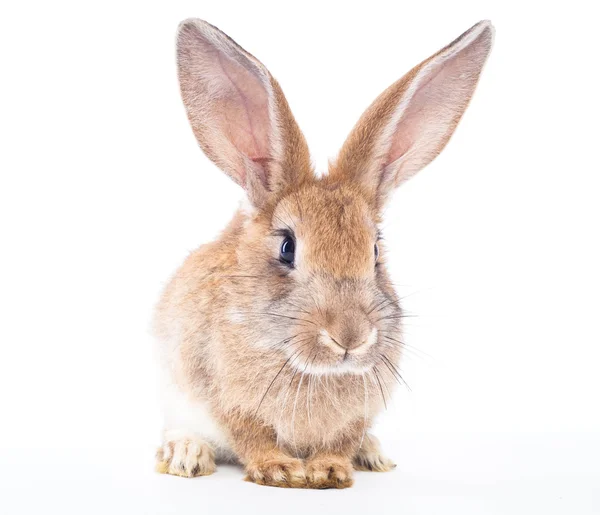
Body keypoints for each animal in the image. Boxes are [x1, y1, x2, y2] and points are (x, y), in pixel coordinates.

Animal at [154, 18, 492, 490]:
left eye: (375, 250)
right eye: (286, 247)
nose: (351, 337)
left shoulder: (359, 411)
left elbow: (342, 439)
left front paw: (330, 470)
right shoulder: (222, 394)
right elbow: (251, 435)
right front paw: (278, 470)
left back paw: (373, 454)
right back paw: (186, 455)